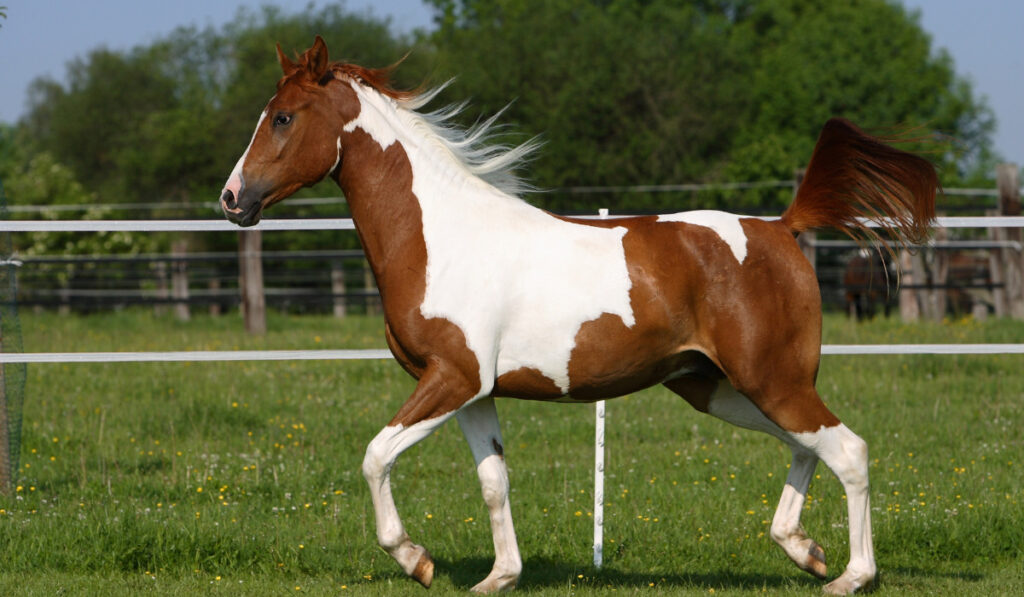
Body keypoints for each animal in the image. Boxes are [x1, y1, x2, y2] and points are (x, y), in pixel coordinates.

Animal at [220, 37, 937, 597]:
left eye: (282, 117)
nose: (232, 199)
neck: (440, 237)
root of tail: (782, 228)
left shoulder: (450, 377)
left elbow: (374, 457)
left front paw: (416, 560)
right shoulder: (472, 391)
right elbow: (493, 481)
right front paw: (499, 576)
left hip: (771, 379)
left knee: (847, 448)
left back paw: (850, 574)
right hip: (715, 385)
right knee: (806, 445)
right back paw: (803, 548)